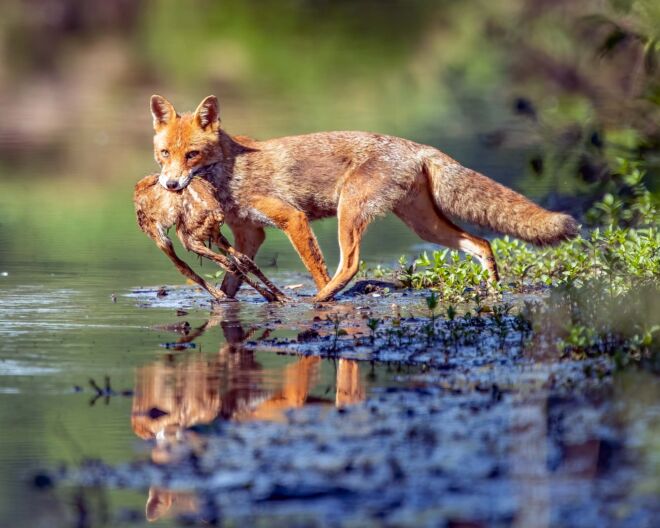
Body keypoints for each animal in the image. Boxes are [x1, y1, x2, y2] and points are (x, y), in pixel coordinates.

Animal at [150, 94, 579, 301]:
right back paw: (493, 289)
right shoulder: (251, 234)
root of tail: (417, 146)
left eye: (192, 155)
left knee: (350, 265)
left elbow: (315, 266)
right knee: (482, 242)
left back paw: (322, 300)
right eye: (164, 154)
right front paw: (223, 307)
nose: (170, 186)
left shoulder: (291, 219)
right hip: (424, 226)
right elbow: (231, 282)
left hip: (350, 211)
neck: (231, 171)